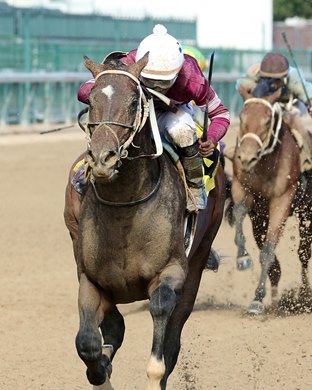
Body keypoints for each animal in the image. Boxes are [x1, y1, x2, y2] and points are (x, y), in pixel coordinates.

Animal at [64, 53, 224, 388]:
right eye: (92, 99)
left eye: (135, 101)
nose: (103, 158)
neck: (125, 207)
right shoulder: (90, 278)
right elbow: (88, 345)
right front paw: (102, 366)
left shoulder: (171, 272)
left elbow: (161, 347)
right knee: (114, 328)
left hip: (199, 258)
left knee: (173, 340)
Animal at [227, 87, 312, 314]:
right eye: (242, 117)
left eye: (267, 121)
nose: (247, 157)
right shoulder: (243, 192)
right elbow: (239, 213)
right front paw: (243, 257)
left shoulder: (282, 201)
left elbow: (267, 251)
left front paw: (257, 299)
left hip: (307, 214)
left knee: (303, 253)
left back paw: (304, 294)